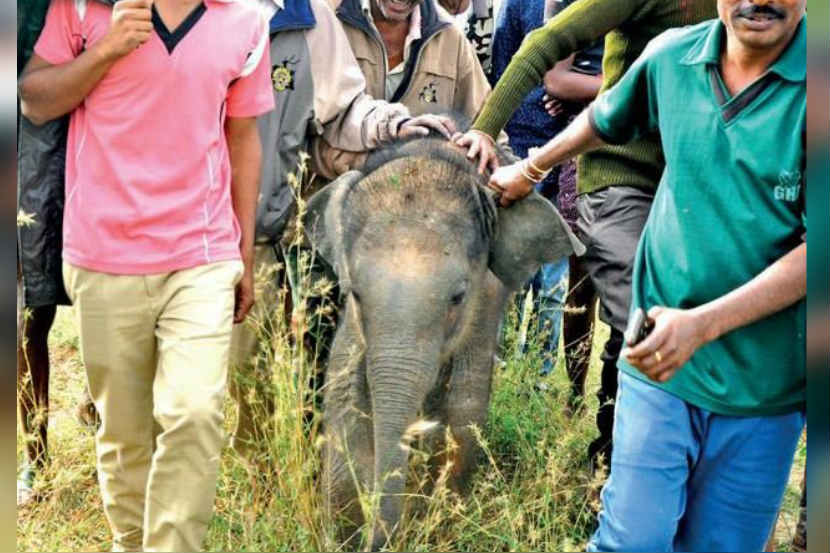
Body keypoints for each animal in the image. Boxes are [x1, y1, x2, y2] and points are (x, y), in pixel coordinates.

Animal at [306, 137, 584, 548]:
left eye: (457, 297)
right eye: (354, 293)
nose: (377, 541)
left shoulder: (485, 300)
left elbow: (464, 409)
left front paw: (433, 520)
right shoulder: (353, 329)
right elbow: (344, 396)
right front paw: (341, 534)